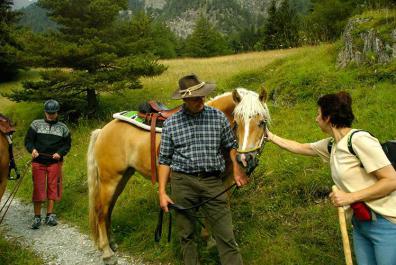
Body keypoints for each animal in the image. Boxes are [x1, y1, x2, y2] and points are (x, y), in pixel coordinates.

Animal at [88, 87, 270, 262]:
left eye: (262, 122)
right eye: (237, 122)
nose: (245, 158)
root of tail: (103, 130)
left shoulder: (225, 181)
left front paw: (210, 239)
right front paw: (208, 239)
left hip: (122, 178)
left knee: (108, 209)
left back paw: (111, 244)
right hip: (109, 180)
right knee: (101, 211)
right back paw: (107, 252)